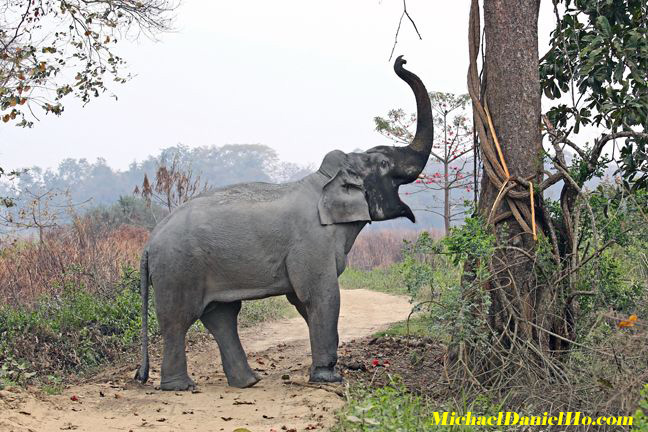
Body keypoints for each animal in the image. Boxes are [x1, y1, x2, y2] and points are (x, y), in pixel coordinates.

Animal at [134, 54, 432, 392]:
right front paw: (329, 377)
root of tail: (148, 244)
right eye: (383, 164)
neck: (323, 181)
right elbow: (320, 295)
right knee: (178, 319)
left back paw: (248, 382)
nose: (401, 60)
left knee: (221, 316)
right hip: (178, 268)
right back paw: (182, 386)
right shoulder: (311, 242)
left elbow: (303, 300)